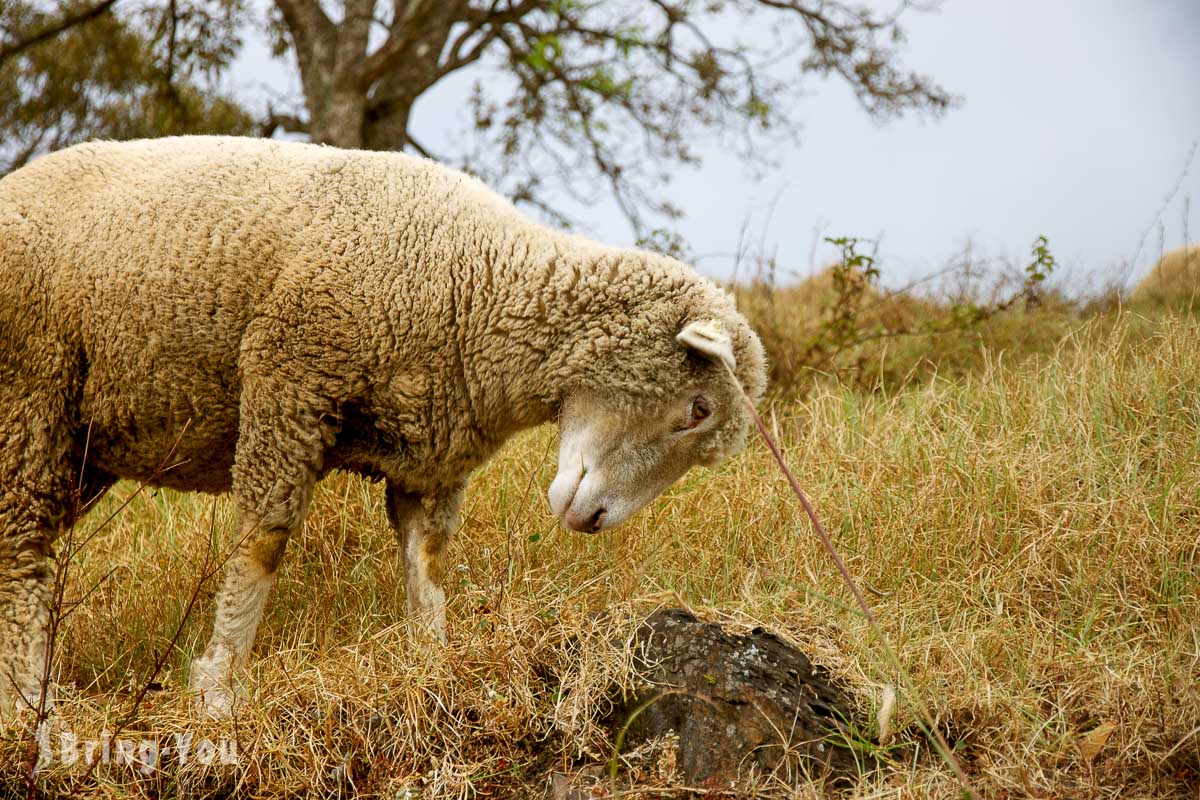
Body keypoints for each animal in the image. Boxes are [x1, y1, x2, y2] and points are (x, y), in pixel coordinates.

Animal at [0, 134, 763, 714]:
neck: (482, 285)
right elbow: (264, 543)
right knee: (20, 553)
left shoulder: (430, 457)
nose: (595, 519)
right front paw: (219, 687)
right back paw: (28, 699)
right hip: (28, 399)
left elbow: (427, 565)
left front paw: (432, 669)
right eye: (696, 411)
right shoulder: (289, 381)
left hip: (80, 446)